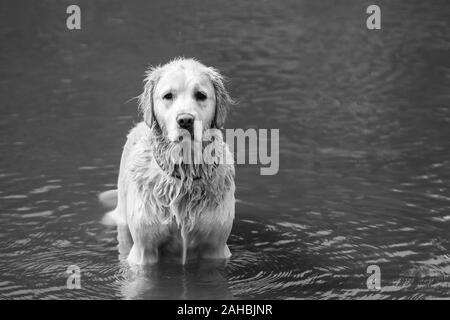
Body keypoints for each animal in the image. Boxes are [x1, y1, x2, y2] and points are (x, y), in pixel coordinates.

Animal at [100, 58, 236, 264]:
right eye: (168, 96)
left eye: (201, 95)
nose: (185, 120)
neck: (185, 175)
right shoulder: (143, 251)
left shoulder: (216, 248)